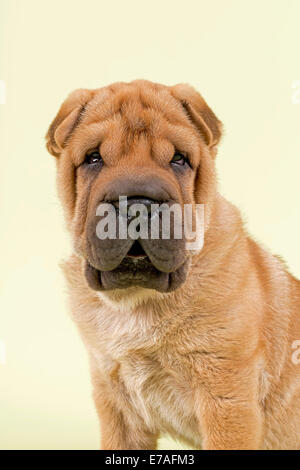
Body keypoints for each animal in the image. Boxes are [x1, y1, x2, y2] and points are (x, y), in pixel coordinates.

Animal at [45, 81, 300, 452]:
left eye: (179, 159)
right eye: (94, 158)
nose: (137, 204)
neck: (137, 302)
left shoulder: (227, 396)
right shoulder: (115, 401)